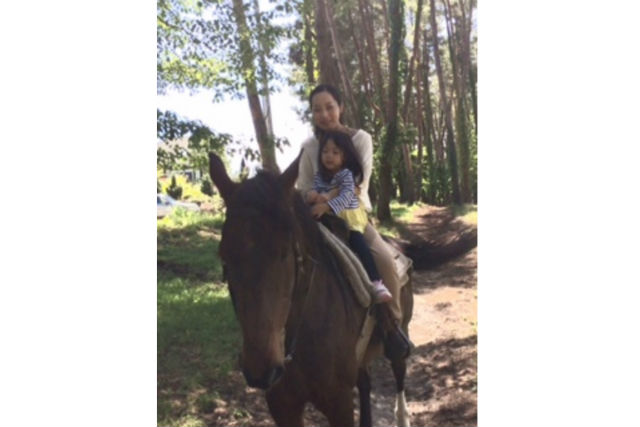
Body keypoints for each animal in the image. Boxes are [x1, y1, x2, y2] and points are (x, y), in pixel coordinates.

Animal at [208, 152, 414, 427]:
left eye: (285, 253)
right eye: (224, 257)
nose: (261, 370)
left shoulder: (338, 402)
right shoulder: (282, 405)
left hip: (402, 329)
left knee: (399, 369)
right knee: (365, 381)